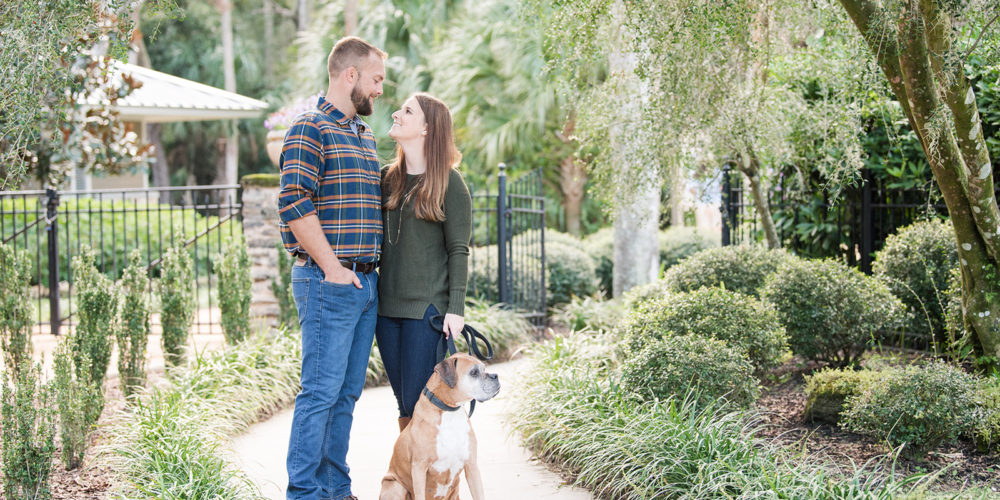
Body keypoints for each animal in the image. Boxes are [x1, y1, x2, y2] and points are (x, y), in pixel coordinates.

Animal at [376, 352, 500, 500]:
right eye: (474, 372)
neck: (449, 411)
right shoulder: (419, 468)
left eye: (484, 368)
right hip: (395, 486)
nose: (496, 376)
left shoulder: (472, 466)